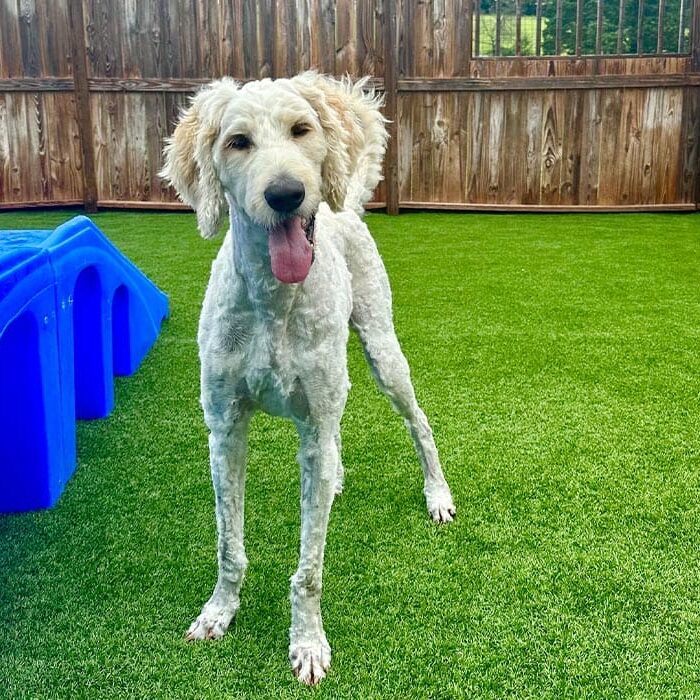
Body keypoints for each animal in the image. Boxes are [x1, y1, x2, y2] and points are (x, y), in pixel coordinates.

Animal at [160, 74, 454, 688]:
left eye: (301, 129)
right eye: (238, 142)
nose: (286, 195)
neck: (274, 303)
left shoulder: (312, 422)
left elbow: (310, 569)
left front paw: (308, 643)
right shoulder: (224, 428)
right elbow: (229, 545)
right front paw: (218, 612)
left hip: (383, 354)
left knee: (419, 424)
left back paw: (437, 493)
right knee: (337, 434)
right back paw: (336, 478)